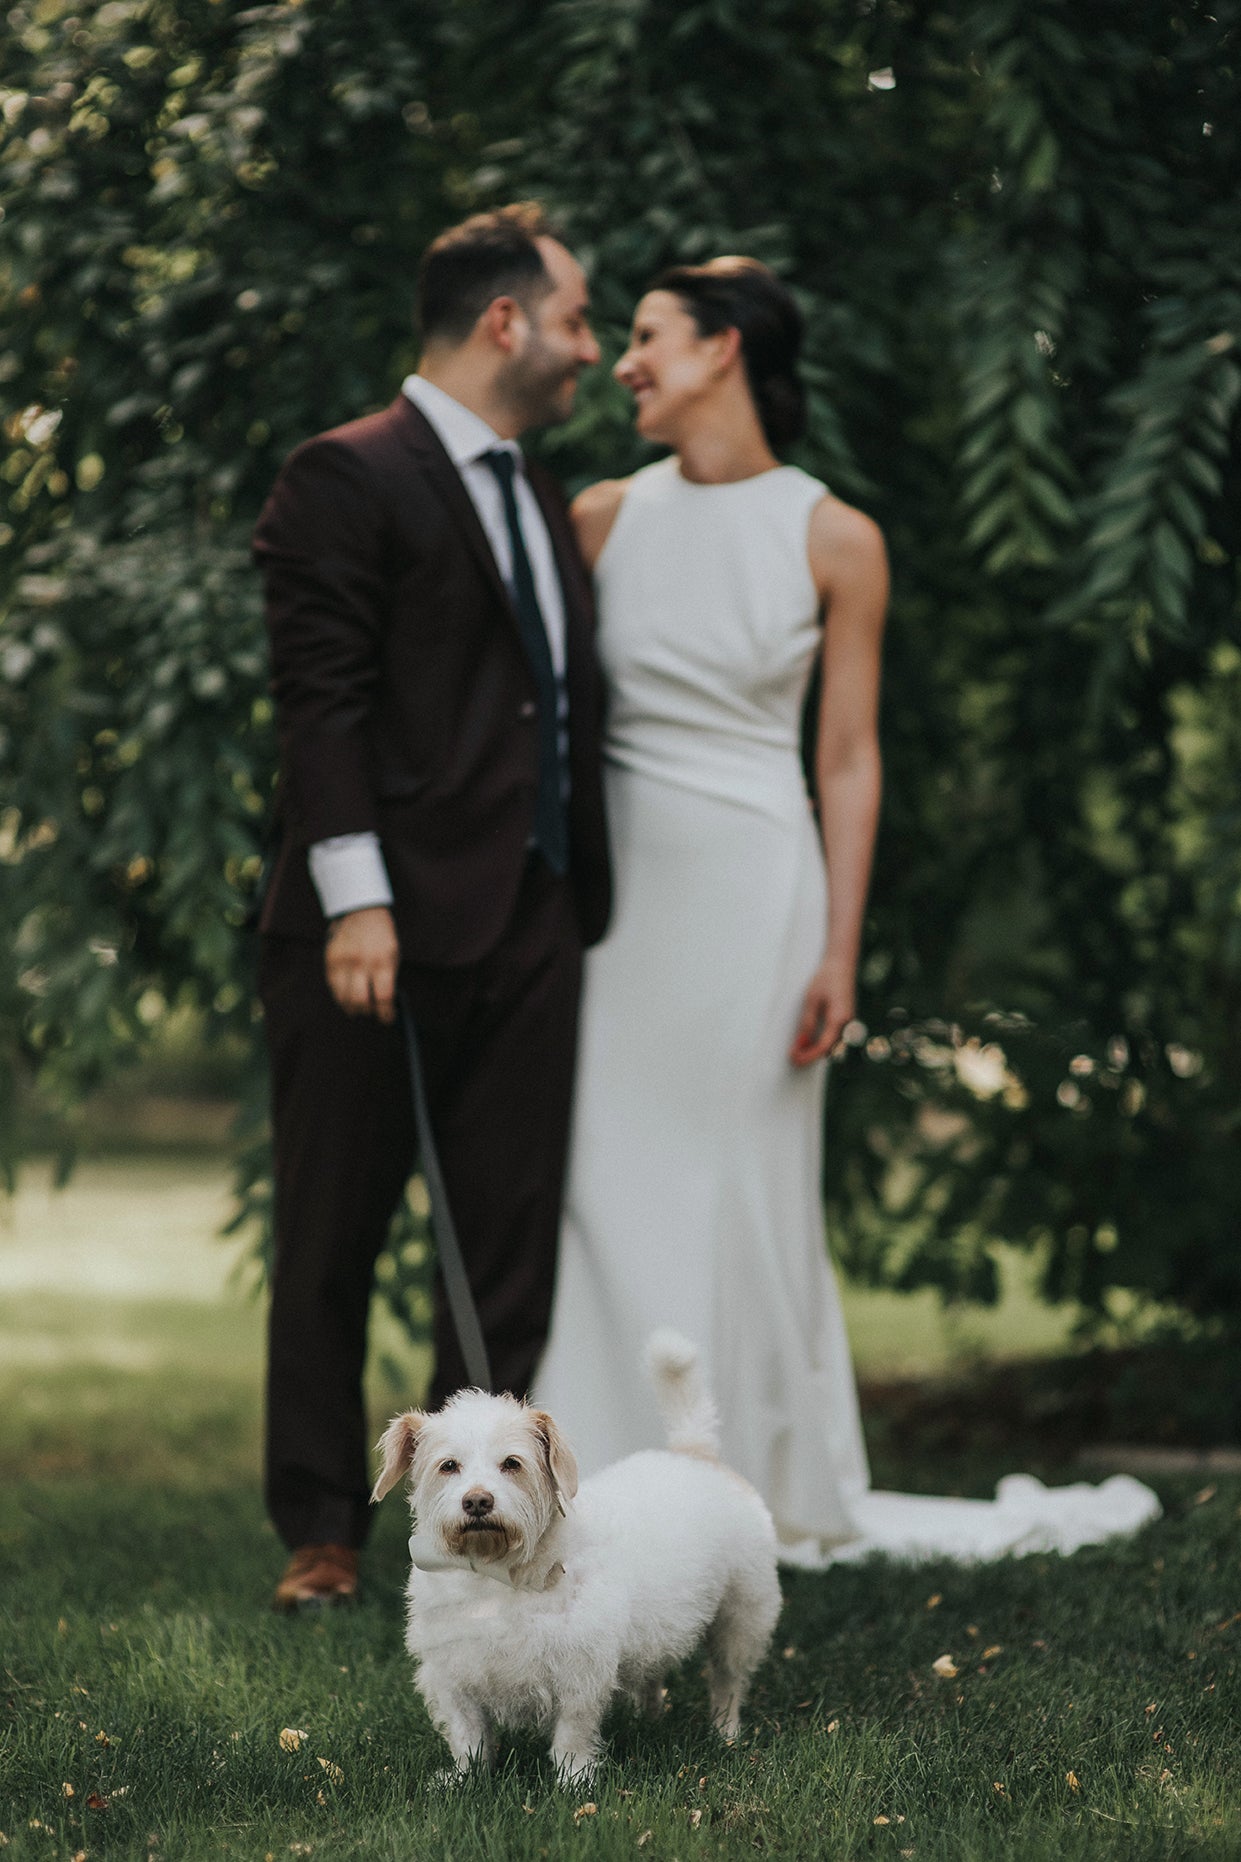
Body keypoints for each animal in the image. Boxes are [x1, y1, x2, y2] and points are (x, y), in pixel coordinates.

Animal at [367, 1333, 778, 1780]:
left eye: (512, 1463)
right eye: (448, 1466)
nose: (477, 1501)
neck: (496, 1575)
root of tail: (694, 1453)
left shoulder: (580, 1672)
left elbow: (571, 1734)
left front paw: (573, 1781)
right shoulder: (452, 1675)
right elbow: (468, 1735)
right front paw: (465, 1778)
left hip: (741, 1618)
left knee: (728, 1681)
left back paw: (725, 1733)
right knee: (653, 1673)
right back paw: (649, 1717)